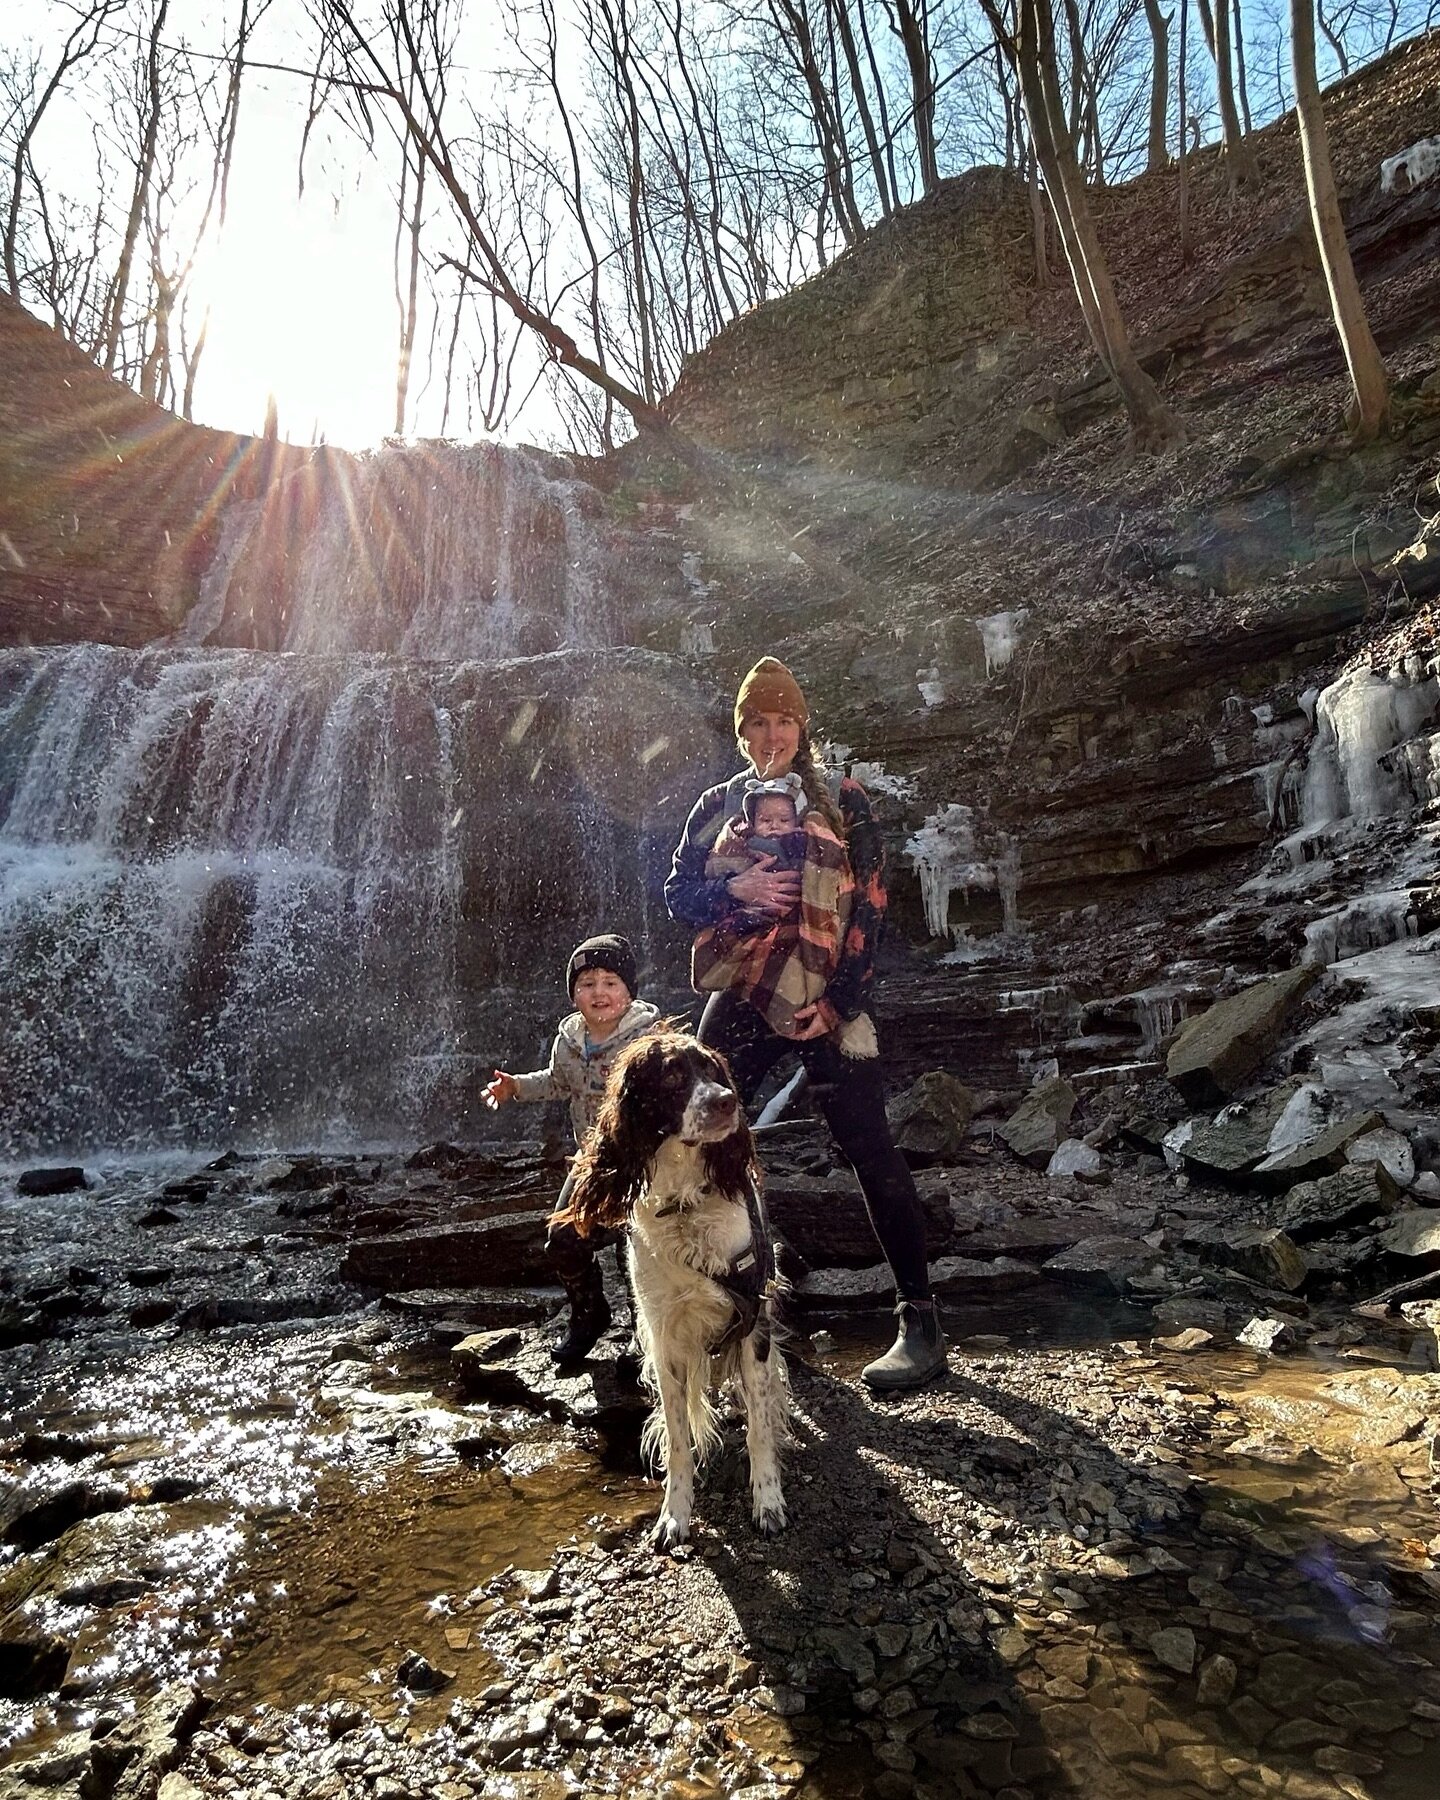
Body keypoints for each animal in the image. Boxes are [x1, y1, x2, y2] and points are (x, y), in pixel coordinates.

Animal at [561, 1029, 788, 1548]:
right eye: (671, 1076)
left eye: (714, 1071)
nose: (728, 1103)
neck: (686, 1206)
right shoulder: (664, 1336)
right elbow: (679, 1436)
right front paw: (674, 1515)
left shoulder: (753, 1320)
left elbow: (760, 1426)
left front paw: (767, 1501)